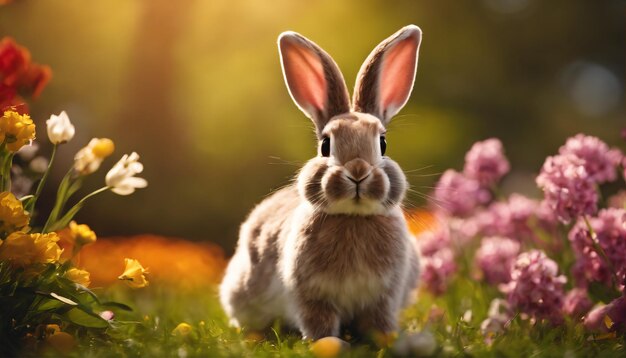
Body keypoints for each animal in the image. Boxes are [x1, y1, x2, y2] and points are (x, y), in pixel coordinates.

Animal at [218, 25, 420, 342]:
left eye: (383, 143)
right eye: (326, 145)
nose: (358, 171)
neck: (352, 218)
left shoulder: (385, 296)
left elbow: (380, 322)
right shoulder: (311, 297)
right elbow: (319, 324)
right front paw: (328, 344)